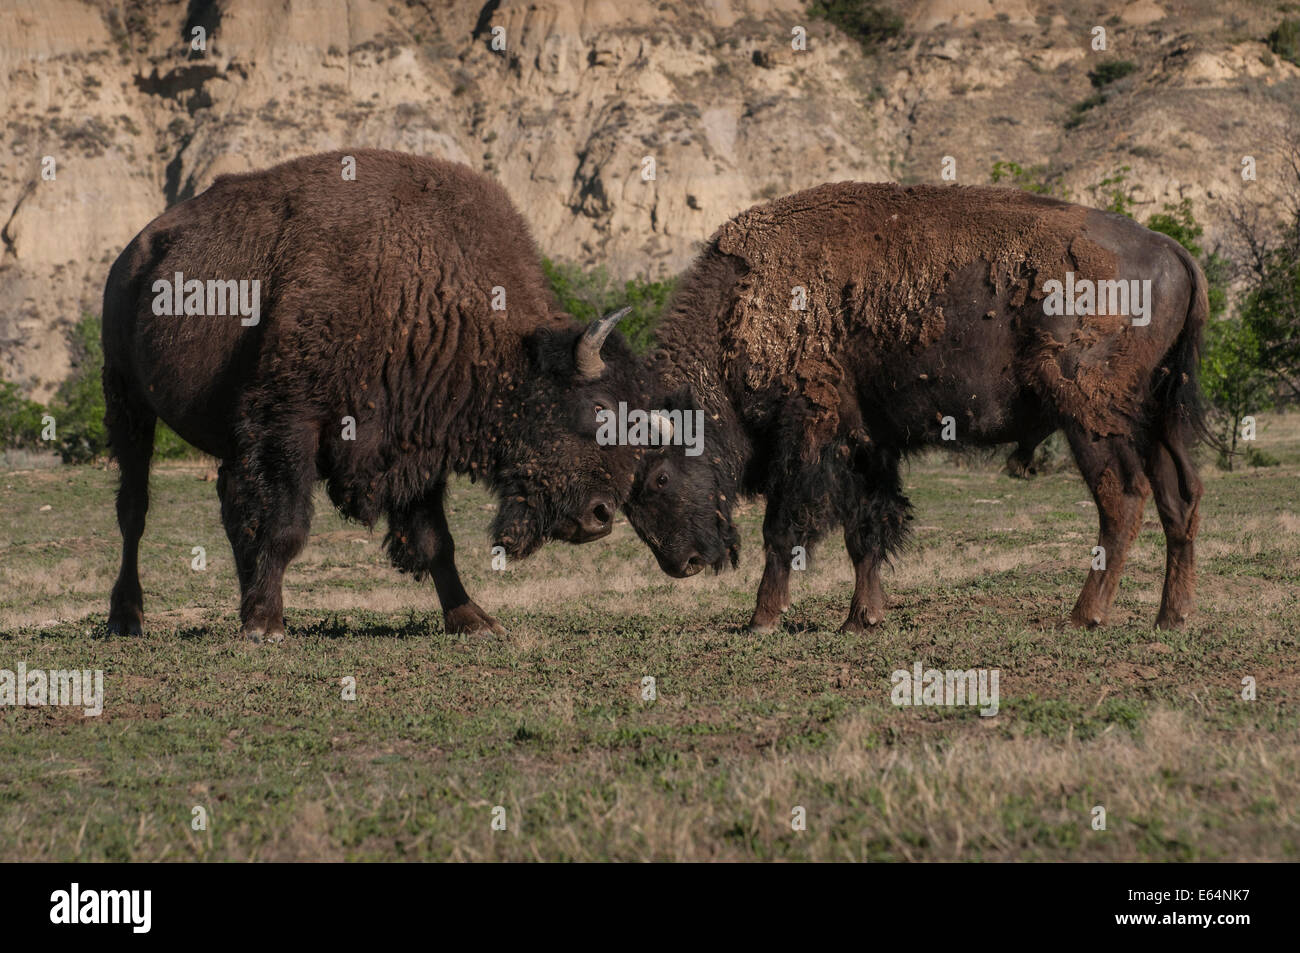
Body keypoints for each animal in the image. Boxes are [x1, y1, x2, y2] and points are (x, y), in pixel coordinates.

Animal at [104, 148, 642, 639]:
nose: (601, 516)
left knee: (230, 507)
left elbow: (435, 540)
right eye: (597, 407)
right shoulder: (289, 426)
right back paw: (127, 619)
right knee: (135, 511)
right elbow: (285, 527)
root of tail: (132, 255)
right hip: (127, 400)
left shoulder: (414, 443)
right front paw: (265, 627)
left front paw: (474, 621)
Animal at [621, 184, 1206, 631]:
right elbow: (866, 531)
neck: (742, 308)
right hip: (1154, 420)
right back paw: (1170, 618)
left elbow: (783, 528)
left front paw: (762, 620)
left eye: (659, 478)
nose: (683, 564)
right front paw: (861, 620)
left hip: (1090, 418)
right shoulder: (867, 445)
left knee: (1122, 500)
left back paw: (1084, 616)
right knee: (1178, 499)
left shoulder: (809, 435)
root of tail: (1170, 248)